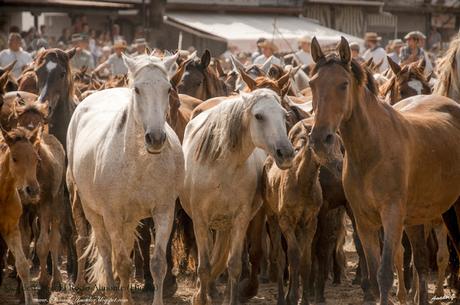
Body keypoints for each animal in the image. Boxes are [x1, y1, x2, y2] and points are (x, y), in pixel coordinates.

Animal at [67, 54, 182, 304]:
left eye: (168, 89)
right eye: (137, 89)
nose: (155, 138)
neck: (140, 163)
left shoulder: (164, 211)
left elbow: (158, 263)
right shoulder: (111, 214)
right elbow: (121, 262)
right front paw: (125, 298)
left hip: (130, 218)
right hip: (91, 210)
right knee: (103, 246)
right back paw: (111, 287)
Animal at [181, 88, 292, 304]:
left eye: (284, 115)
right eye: (259, 116)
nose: (286, 152)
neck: (221, 166)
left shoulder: (240, 218)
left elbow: (234, 265)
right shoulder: (200, 220)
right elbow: (204, 267)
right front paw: (202, 297)